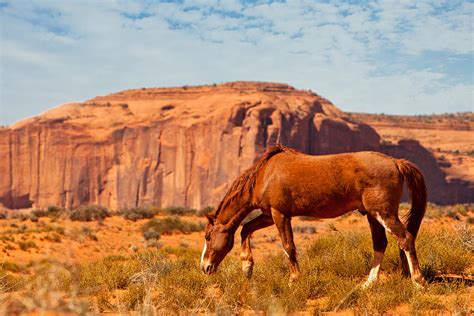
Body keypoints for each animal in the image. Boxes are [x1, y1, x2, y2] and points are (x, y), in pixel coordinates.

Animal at [198, 144, 428, 288]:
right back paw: (368, 284)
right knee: (380, 244)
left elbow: (288, 247)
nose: (204, 267)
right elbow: (246, 228)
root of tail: (396, 162)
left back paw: (418, 281)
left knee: (405, 239)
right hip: (373, 215)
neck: (265, 174)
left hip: (384, 214)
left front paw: (294, 279)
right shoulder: (269, 215)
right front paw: (247, 267)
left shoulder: (280, 214)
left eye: (208, 237)